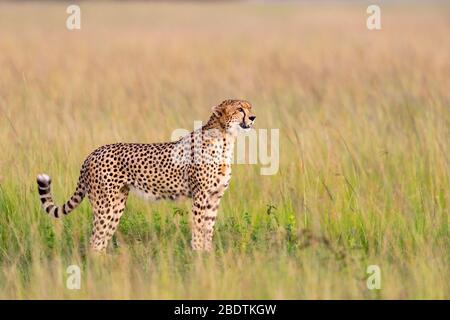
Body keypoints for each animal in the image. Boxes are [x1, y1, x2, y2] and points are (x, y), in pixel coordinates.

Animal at [37, 99, 256, 251]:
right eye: (240, 109)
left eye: (250, 107)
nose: (253, 118)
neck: (225, 138)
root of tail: (93, 153)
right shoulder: (200, 195)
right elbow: (199, 226)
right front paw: (198, 255)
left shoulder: (214, 196)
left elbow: (208, 227)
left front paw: (208, 255)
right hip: (106, 205)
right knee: (95, 241)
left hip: (116, 204)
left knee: (100, 239)